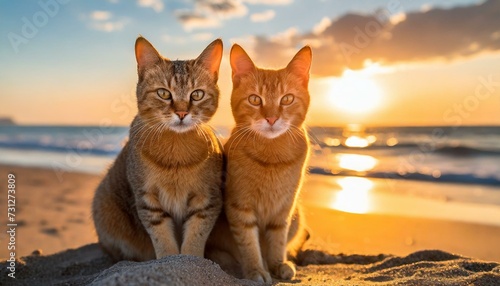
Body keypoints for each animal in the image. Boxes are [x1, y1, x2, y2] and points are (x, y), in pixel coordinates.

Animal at [92, 36, 225, 262]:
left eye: (197, 95)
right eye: (163, 93)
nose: (182, 113)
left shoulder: (207, 199)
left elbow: (195, 238)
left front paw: (191, 260)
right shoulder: (148, 200)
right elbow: (163, 239)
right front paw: (168, 259)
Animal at [205, 43, 310, 282]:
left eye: (286, 99)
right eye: (255, 99)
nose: (271, 118)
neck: (272, 159)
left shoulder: (284, 210)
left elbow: (278, 240)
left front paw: (277, 264)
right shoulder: (240, 207)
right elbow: (249, 243)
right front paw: (256, 269)